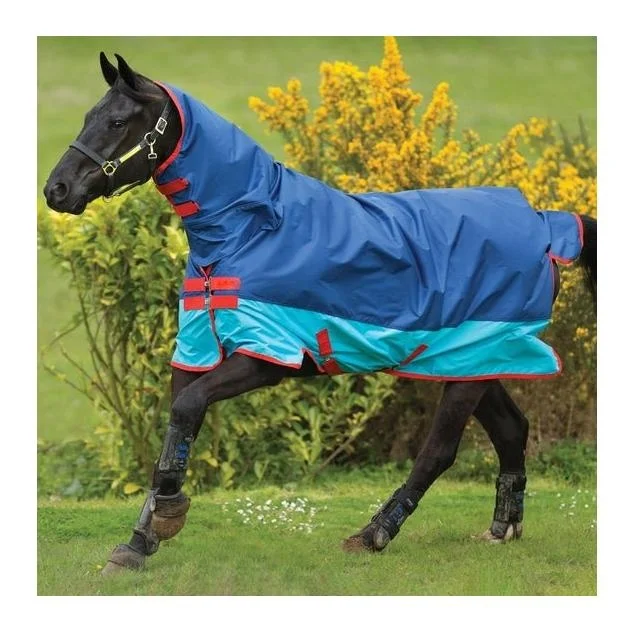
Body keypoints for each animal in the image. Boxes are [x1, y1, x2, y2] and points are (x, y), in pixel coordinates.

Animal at [43, 53, 597, 575]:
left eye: (117, 121)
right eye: (89, 116)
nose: (57, 190)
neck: (245, 233)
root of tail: (546, 224)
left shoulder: (264, 359)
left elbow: (185, 413)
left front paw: (166, 517)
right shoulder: (196, 352)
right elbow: (176, 428)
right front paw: (139, 542)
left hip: (471, 361)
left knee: (439, 450)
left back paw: (373, 534)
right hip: (476, 360)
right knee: (512, 429)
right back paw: (502, 528)